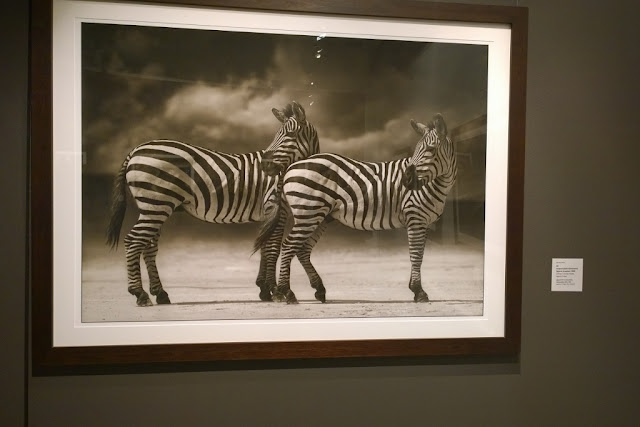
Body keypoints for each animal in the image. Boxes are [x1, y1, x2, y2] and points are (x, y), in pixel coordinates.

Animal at [106, 101, 319, 306]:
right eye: (278, 136)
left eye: (289, 135)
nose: (265, 167)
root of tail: (136, 149)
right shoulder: (276, 209)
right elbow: (272, 249)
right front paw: (276, 292)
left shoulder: (269, 213)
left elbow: (264, 248)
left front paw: (265, 289)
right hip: (156, 205)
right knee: (133, 241)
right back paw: (140, 294)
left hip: (154, 207)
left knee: (148, 246)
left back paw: (160, 294)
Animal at [254, 113, 457, 304]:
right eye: (416, 150)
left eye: (430, 150)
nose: (407, 181)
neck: (433, 184)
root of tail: (291, 167)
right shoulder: (415, 217)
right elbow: (416, 255)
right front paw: (419, 291)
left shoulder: (424, 222)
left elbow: (419, 254)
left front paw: (415, 289)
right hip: (308, 213)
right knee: (289, 246)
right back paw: (287, 292)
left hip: (318, 216)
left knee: (302, 250)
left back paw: (318, 290)